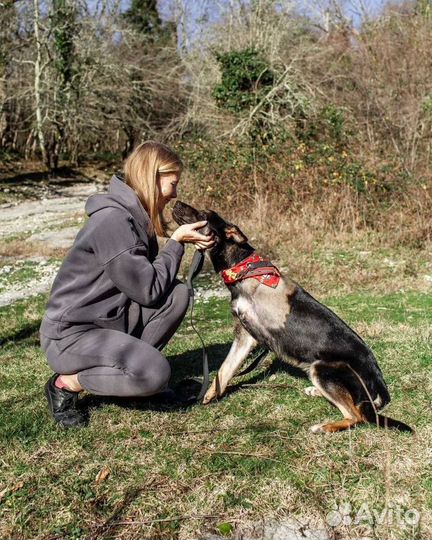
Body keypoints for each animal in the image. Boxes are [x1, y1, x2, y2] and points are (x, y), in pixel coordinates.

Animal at [171, 200, 412, 432]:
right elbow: (224, 370)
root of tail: (378, 379)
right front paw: (209, 395)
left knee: (356, 416)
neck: (242, 270)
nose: (176, 203)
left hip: (321, 368)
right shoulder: (245, 336)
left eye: (203, 214)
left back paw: (325, 426)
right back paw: (315, 392)